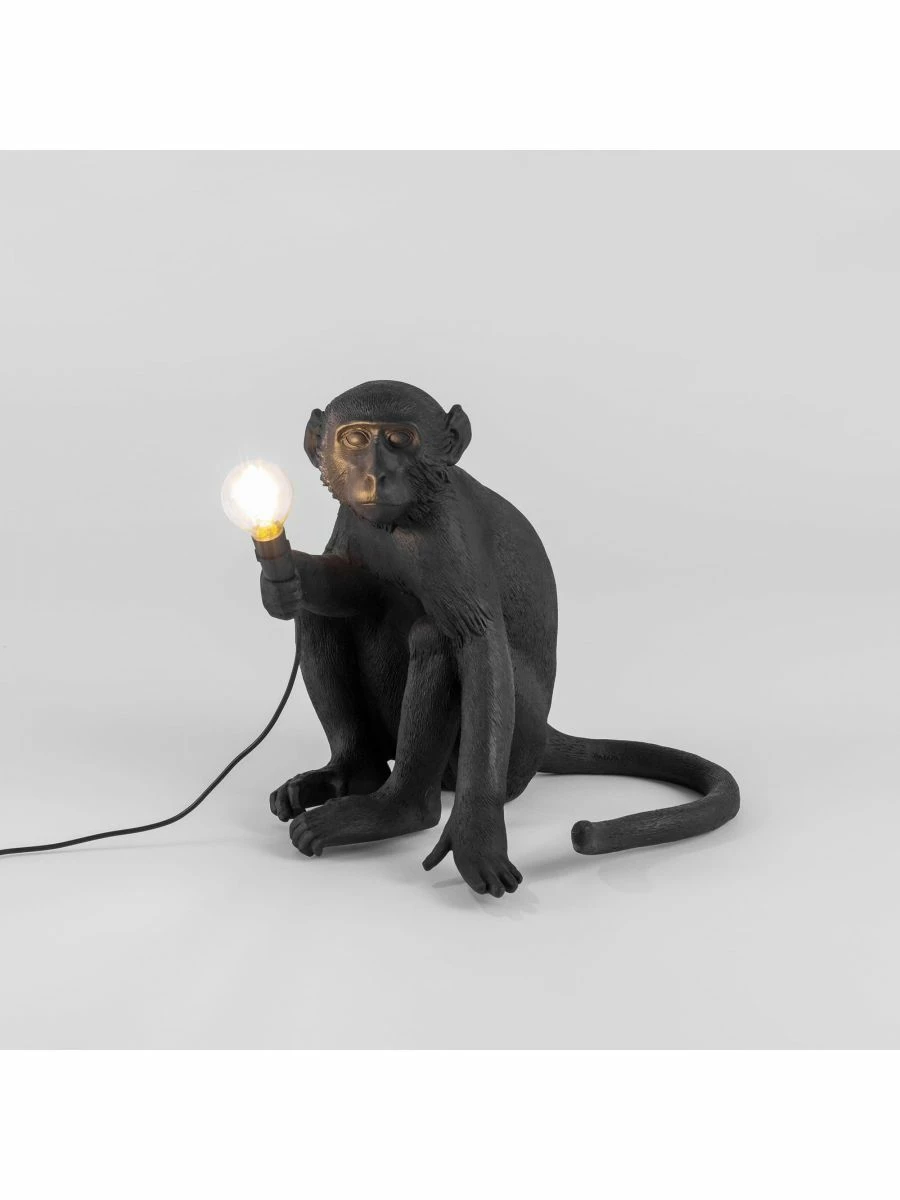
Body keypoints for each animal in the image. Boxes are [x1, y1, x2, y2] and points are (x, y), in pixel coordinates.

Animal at [260, 380, 739, 897]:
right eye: (354, 439)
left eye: (399, 440)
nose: (375, 475)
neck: (406, 516)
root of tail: (545, 733)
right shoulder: (353, 519)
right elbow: (352, 588)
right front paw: (288, 577)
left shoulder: (447, 534)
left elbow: (477, 644)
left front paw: (477, 834)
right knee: (322, 618)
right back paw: (353, 773)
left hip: (517, 747)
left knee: (435, 638)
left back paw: (399, 809)